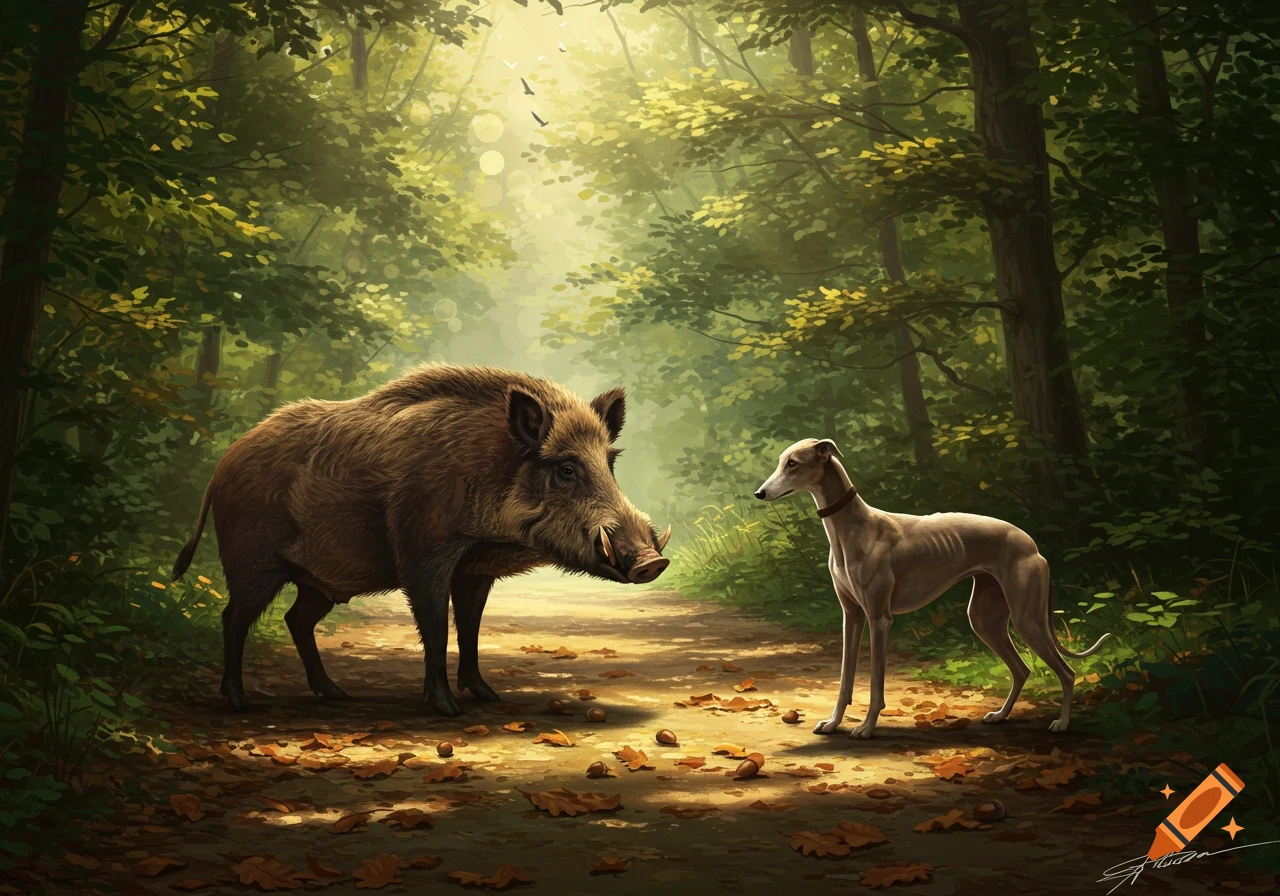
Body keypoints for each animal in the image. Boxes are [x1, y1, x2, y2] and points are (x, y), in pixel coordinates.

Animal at [170, 364, 670, 715]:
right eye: (566, 468)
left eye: (610, 462)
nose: (652, 562)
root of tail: (222, 464)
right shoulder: (423, 553)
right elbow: (435, 626)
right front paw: (447, 709)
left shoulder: (475, 568)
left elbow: (470, 628)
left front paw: (487, 696)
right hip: (252, 562)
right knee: (233, 618)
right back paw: (240, 702)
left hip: (317, 579)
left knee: (296, 619)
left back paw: (337, 695)